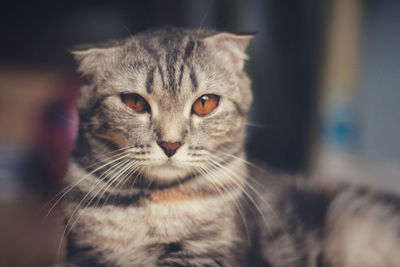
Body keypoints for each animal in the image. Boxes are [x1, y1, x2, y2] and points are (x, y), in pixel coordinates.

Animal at [61, 26, 400, 266]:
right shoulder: (83, 254)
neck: (157, 205)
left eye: (205, 104)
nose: (170, 143)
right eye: (134, 102)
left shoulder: (208, 255)